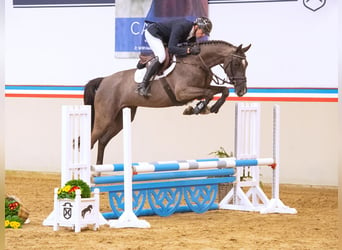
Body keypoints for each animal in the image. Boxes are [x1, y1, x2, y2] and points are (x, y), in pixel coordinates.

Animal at [84, 40, 251, 165]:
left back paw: (98, 171)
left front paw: (208, 107)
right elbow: (210, 94)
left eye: (247, 64)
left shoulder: (201, 88)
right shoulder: (182, 92)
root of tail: (104, 80)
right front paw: (198, 109)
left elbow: (223, 90)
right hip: (105, 117)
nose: (242, 91)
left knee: (102, 140)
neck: (197, 61)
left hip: (122, 117)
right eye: (237, 64)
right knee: (91, 140)